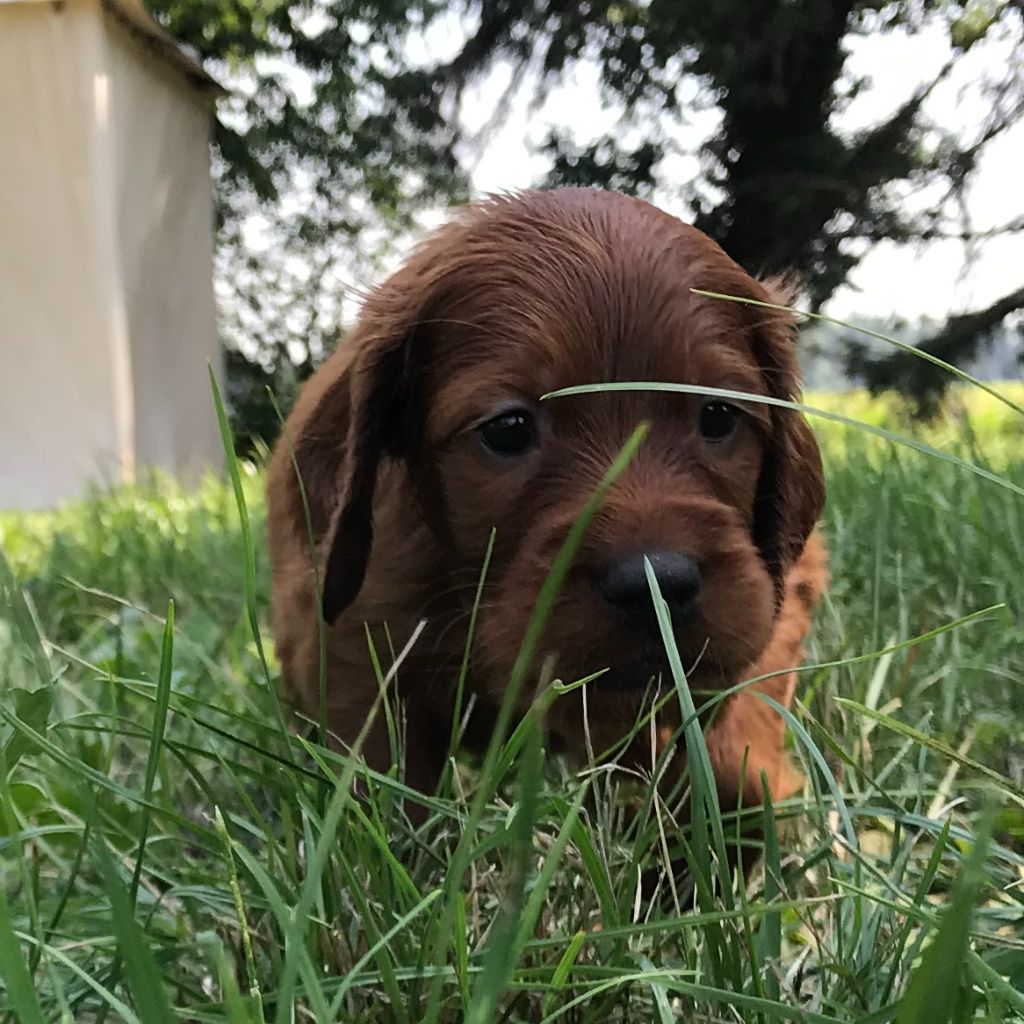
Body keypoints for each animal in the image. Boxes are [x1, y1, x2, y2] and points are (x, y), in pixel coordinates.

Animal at [264, 188, 823, 831]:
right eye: (507, 428)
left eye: (719, 415)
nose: (655, 584)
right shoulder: (360, 645)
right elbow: (379, 789)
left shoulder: (763, 607)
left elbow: (734, 729)